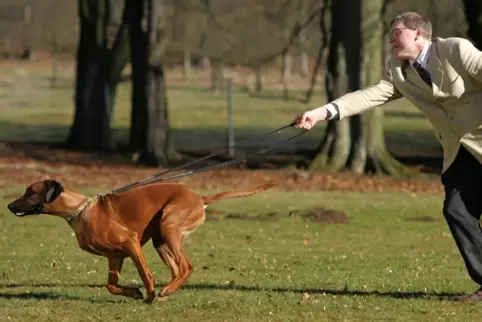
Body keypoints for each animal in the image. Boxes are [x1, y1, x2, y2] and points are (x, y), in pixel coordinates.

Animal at [7, 180, 274, 304]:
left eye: (30, 191)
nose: (9, 206)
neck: (80, 211)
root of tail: (200, 197)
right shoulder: (114, 257)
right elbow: (111, 285)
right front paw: (135, 293)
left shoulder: (131, 244)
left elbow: (146, 275)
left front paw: (148, 294)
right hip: (161, 239)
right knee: (177, 269)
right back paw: (168, 291)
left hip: (168, 227)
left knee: (186, 266)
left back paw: (166, 291)